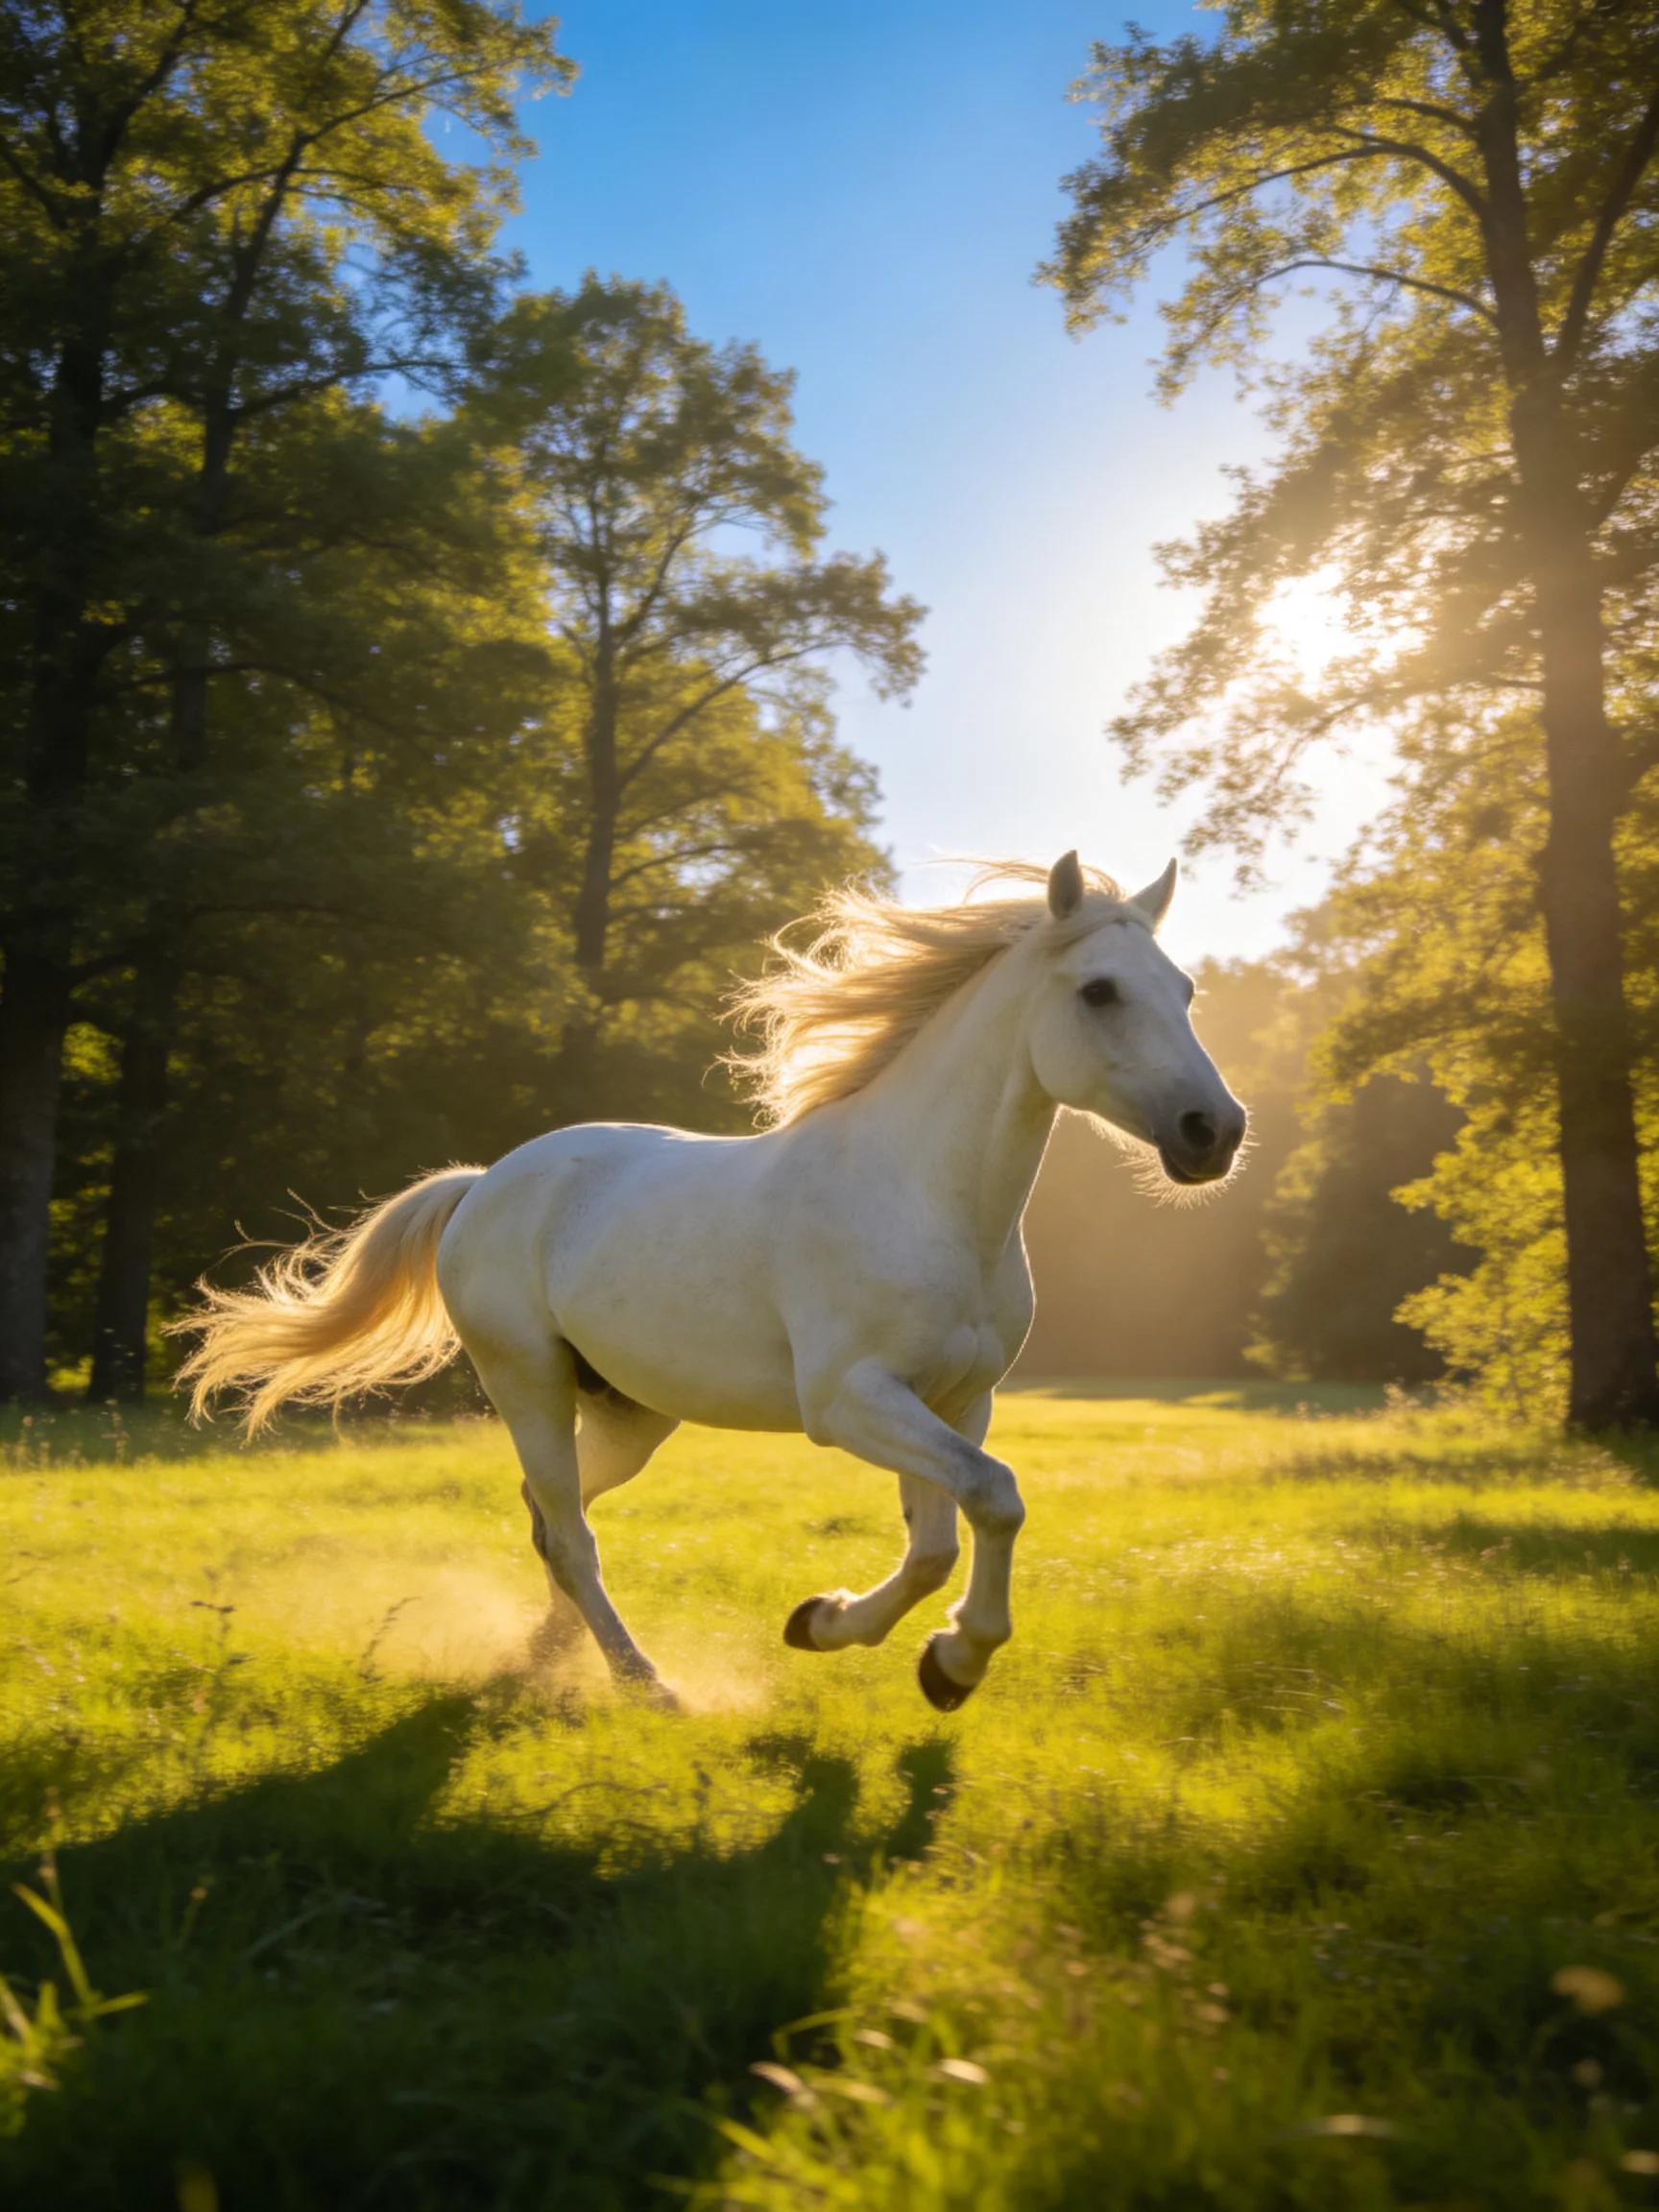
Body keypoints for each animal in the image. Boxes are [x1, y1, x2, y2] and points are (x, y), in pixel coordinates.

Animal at [178, 851, 1246, 1712]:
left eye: (1187, 989)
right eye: (1100, 991)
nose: (1215, 1132)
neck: (923, 1197)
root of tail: (484, 1182)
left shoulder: (956, 1400)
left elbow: (943, 1534)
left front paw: (851, 1634)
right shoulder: (848, 1400)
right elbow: (994, 1499)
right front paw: (945, 1658)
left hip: (631, 1414)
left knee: (552, 1518)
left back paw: (556, 1656)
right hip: (526, 1378)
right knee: (570, 1530)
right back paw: (645, 1683)